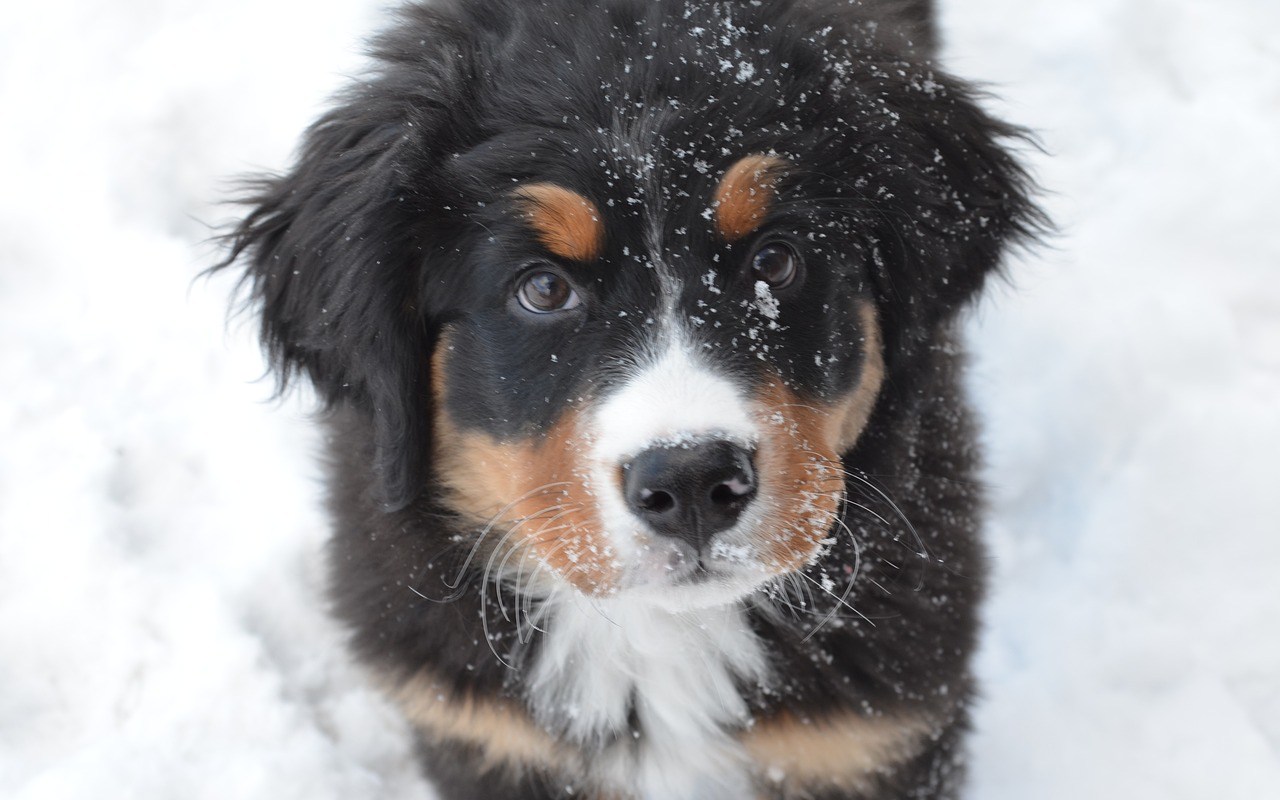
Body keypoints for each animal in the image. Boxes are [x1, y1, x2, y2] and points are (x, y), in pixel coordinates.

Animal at [217, 1, 1039, 798]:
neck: (663, 633)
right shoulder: (492, 737)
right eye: (543, 289)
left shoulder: (870, 738)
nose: (693, 481)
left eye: (775, 260)